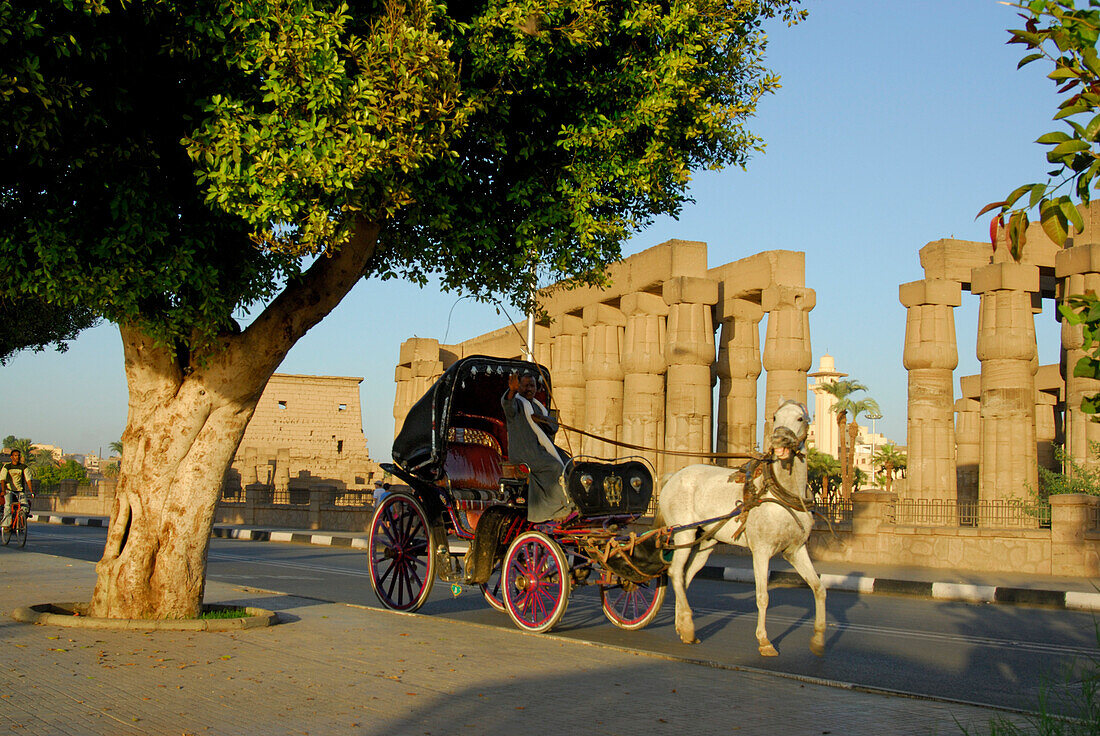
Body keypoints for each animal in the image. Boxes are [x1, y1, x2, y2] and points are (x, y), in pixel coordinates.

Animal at [651, 398, 827, 655]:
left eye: (800, 418)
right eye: (775, 417)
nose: (779, 440)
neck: (782, 492)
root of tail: (672, 476)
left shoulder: (795, 550)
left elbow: (818, 588)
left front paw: (818, 639)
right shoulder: (761, 550)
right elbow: (762, 596)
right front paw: (764, 641)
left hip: (707, 540)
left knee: (685, 575)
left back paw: (683, 625)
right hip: (684, 532)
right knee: (674, 571)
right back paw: (688, 626)